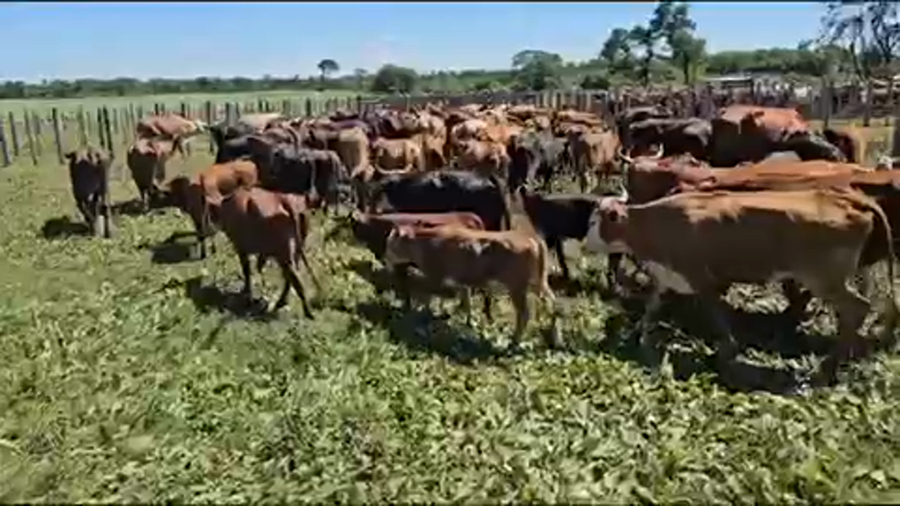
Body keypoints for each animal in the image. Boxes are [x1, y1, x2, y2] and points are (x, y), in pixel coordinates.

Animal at [218, 187, 317, 318]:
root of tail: (283, 199)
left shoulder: (240, 246)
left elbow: (246, 270)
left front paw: (247, 294)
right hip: (297, 249)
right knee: (290, 276)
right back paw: (282, 302)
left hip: (283, 253)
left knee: (294, 278)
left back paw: (307, 311)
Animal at [384, 224, 557, 350]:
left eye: (389, 244)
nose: (386, 258)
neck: (425, 241)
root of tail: (529, 236)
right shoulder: (462, 282)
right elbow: (466, 301)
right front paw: (469, 322)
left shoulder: (435, 276)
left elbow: (427, 295)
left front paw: (420, 313)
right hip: (537, 283)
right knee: (552, 304)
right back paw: (553, 336)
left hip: (517, 288)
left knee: (524, 314)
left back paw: (515, 341)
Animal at [584, 187, 896, 380]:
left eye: (594, 222)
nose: (586, 243)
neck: (657, 223)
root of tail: (845, 198)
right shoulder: (669, 277)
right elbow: (651, 308)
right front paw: (637, 337)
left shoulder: (702, 278)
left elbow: (716, 315)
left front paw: (728, 350)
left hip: (824, 278)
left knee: (858, 307)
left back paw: (825, 369)